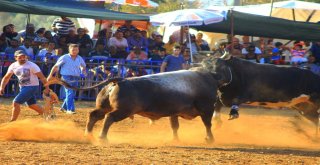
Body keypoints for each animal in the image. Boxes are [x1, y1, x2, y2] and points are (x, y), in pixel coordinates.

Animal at [50, 68, 220, 143]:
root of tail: (120, 80)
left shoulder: (174, 113)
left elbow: (175, 126)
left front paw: (175, 139)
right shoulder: (207, 108)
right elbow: (208, 124)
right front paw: (210, 138)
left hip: (104, 107)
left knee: (94, 115)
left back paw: (88, 134)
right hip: (122, 111)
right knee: (109, 118)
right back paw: (102, 137)